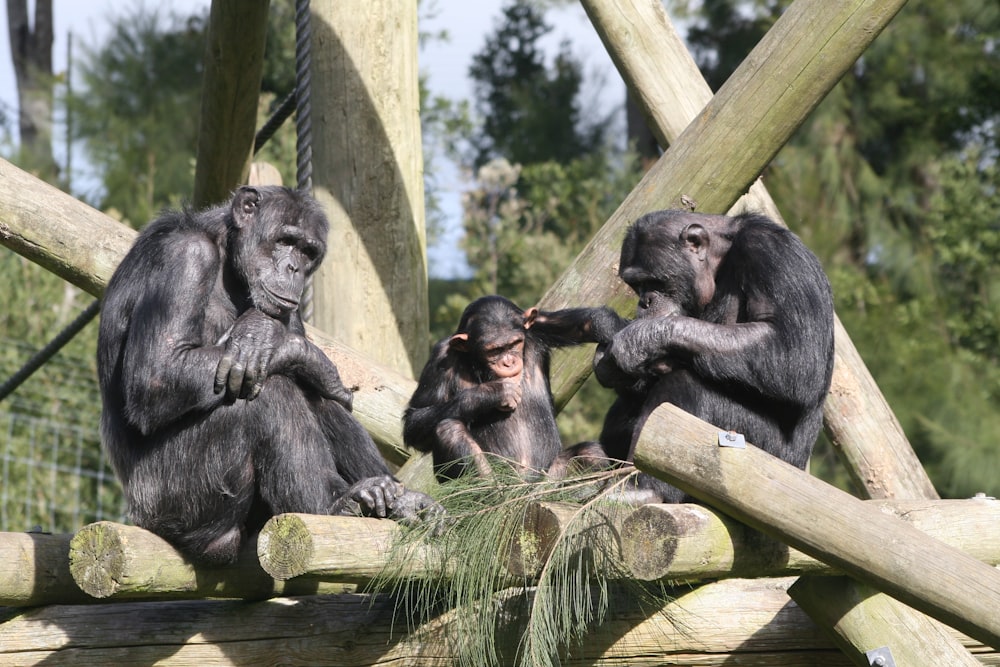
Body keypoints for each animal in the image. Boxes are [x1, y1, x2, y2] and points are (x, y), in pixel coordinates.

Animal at [99, 185, 440, 568]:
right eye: (285, 240)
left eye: (308, 251)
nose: (294, 267)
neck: (226, 256)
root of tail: (140, 517)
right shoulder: (184, 258)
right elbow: (157, 375)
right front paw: (281, 342)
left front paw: (271, 338)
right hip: (174, 498)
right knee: (270, 392)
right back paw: (333, 504)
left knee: (309, 392)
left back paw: (396, 498)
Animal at [402, 296, 576, 480]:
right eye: (494, 351)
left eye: (515, 343)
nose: (509, 362)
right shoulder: (440, 357)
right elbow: (414, 419)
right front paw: (494, 393)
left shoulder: (539, 327)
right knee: (449, 430)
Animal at [544, 209, 832, 500]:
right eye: (636, 285)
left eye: (655, 281)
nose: (644, 300)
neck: (720, 263)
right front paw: (610, 357)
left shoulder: (772, 254)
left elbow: (795, 352)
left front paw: (637, 339)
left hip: (763, 457)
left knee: (684, 386)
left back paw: (644, 488)